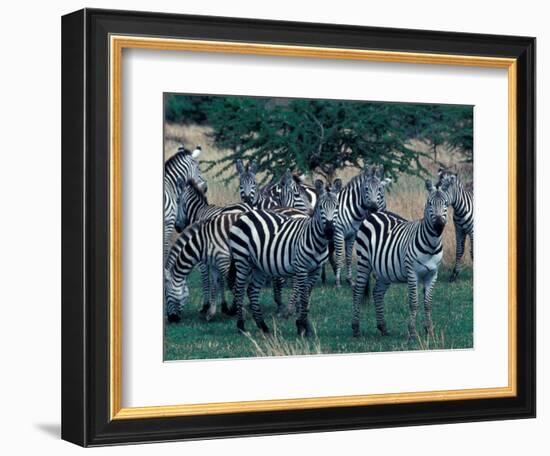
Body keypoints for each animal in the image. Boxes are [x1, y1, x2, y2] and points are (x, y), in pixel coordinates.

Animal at [229, 180, 340, 336]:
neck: (316, 241)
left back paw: (263, 326)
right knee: (239, 289)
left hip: (258, 266)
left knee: (252, 290)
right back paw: (241, 326)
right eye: (320, 207)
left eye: (336, 206)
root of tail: (246, 215)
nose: (329, 231)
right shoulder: (301, 268)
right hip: (242, 259)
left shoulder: (316, 270)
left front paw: (304, 325)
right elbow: (303, 297)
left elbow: (306, 296)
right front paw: (302, 326)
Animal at [352, 180, 450, 340]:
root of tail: (375, 213)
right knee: (358, 292)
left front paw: (429, 331)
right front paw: (413, 333)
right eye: (429, 203)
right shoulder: (412, 273)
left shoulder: (433, 274)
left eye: (446, 203)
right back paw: (356, 329)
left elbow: (428, 303)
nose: (438, 225)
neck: (431, 245)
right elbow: (414, 302)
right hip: (363, 262)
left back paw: (383, 328)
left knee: (377, 293)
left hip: (385, 270)